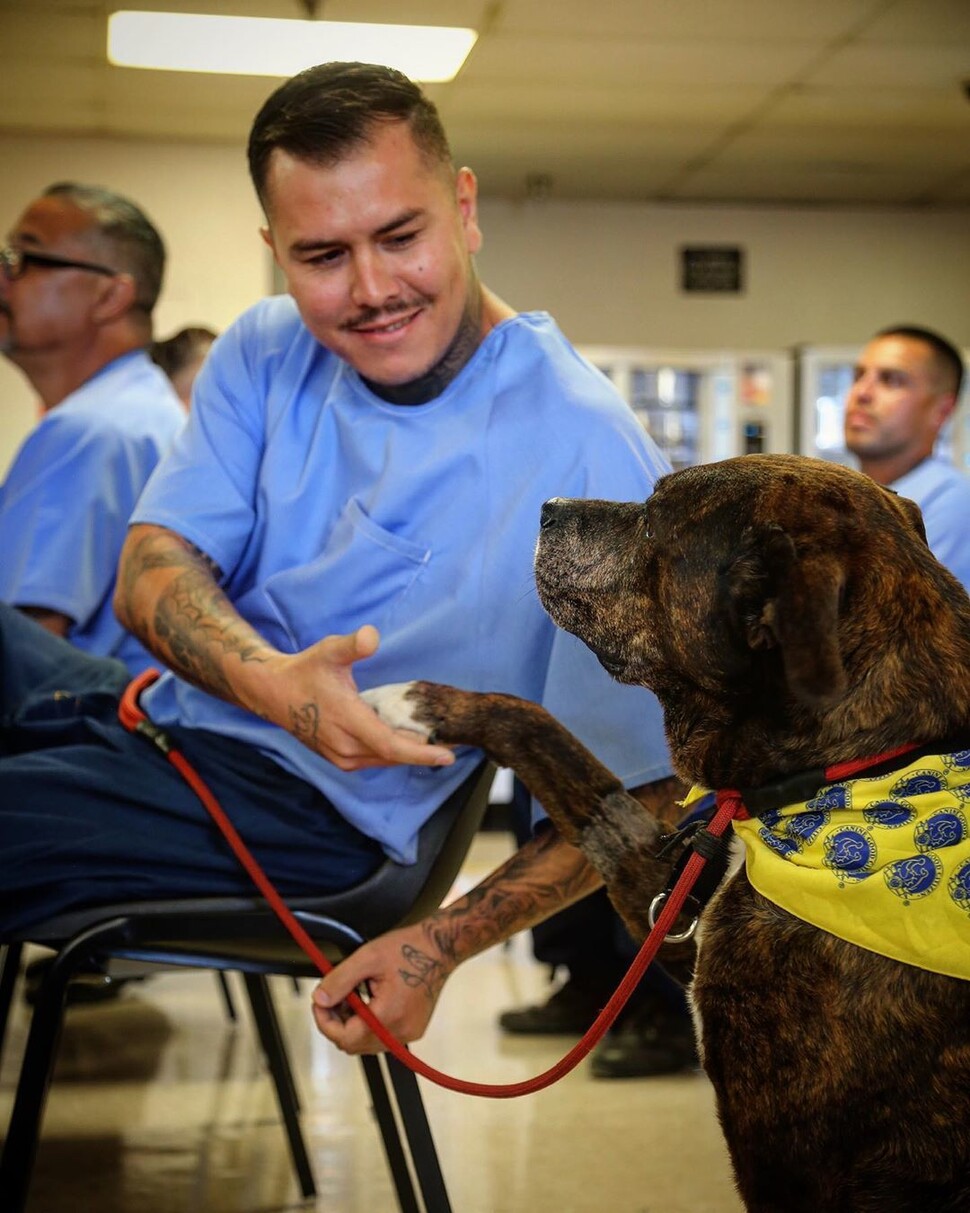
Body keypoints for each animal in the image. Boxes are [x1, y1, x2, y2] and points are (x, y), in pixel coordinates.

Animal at [368, 456, 970, 1213]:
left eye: (655, 518)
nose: (548, 506)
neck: (865, 766)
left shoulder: (788, 1164)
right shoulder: (676, 906)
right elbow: (553, 743)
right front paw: (413, 702)